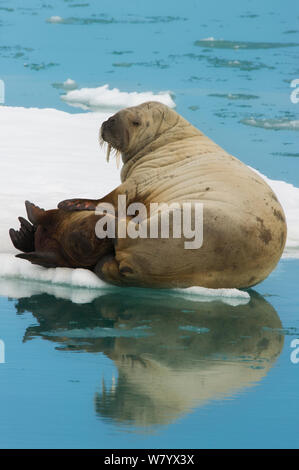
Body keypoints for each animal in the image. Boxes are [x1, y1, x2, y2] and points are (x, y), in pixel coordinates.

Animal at [55, 100, 288, 288]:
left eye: (136, 122)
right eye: (118, 111)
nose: (110, 121)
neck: (167, 140)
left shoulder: (142, 178)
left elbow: (112, 197)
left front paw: (73, 203)